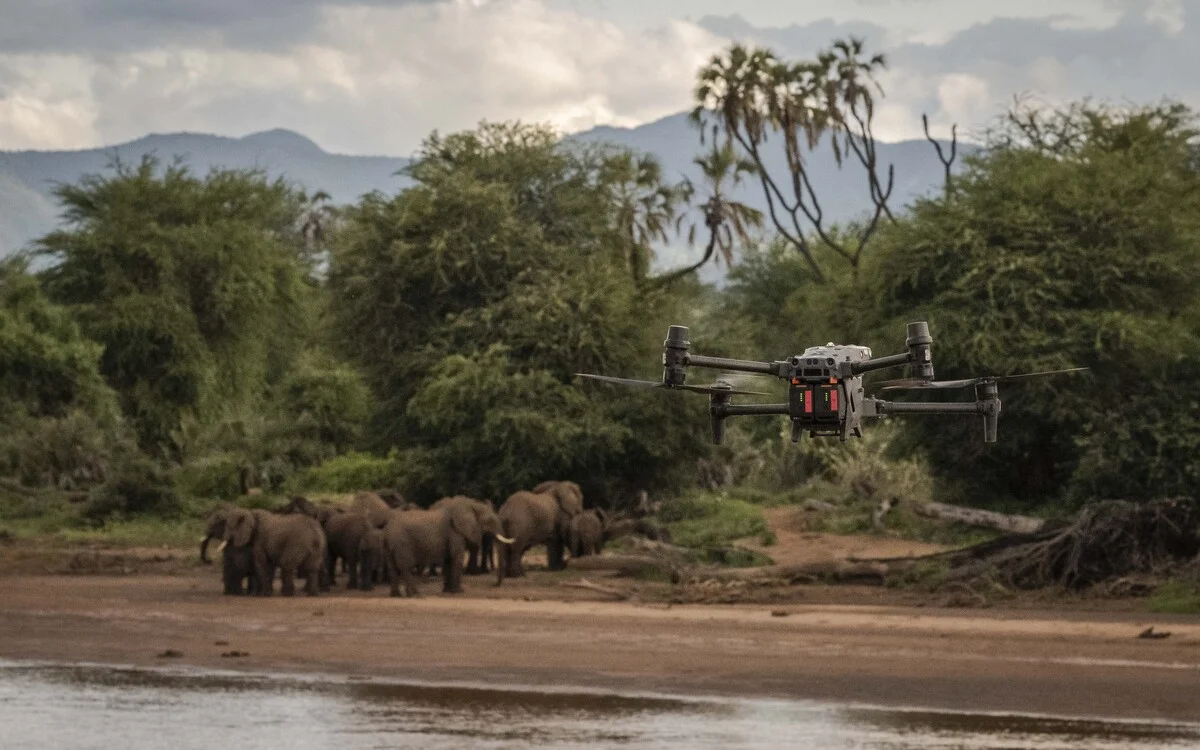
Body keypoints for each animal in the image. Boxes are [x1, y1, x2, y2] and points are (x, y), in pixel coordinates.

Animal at [383, 503, 512, 597]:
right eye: (490, 520)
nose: (494, 585)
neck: (472, 505)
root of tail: (388, 529)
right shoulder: (455, 533)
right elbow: (457, 559)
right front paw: (459, 591)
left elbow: (448, 560)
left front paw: (448, 591)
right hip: (403, 543)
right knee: (406, 567)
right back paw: (414, 594)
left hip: (390, 546)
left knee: (392, 568)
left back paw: (396, 595)